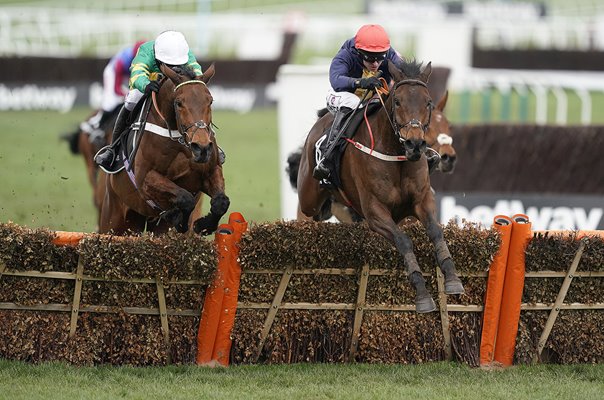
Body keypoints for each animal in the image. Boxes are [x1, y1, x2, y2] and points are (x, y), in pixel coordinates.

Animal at [98, 63, 230, 236]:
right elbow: (185, 198)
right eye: (179, 103)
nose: (201, 147)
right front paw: (178, 219)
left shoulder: (211, 170)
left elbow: (221, 202)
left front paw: (204, 224)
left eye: (210, 101)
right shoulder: (144, 177)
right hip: (113, 222)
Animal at [296, 61, 462, 314]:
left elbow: (435, 231)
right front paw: (423, 295)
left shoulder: (421, 201)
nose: (415, 143)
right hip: (308, 196)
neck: (397, 156)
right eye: (398, 101)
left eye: (428, 102)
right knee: (308, 211)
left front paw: (452, 278)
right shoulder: (375, 212)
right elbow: (404, 241)